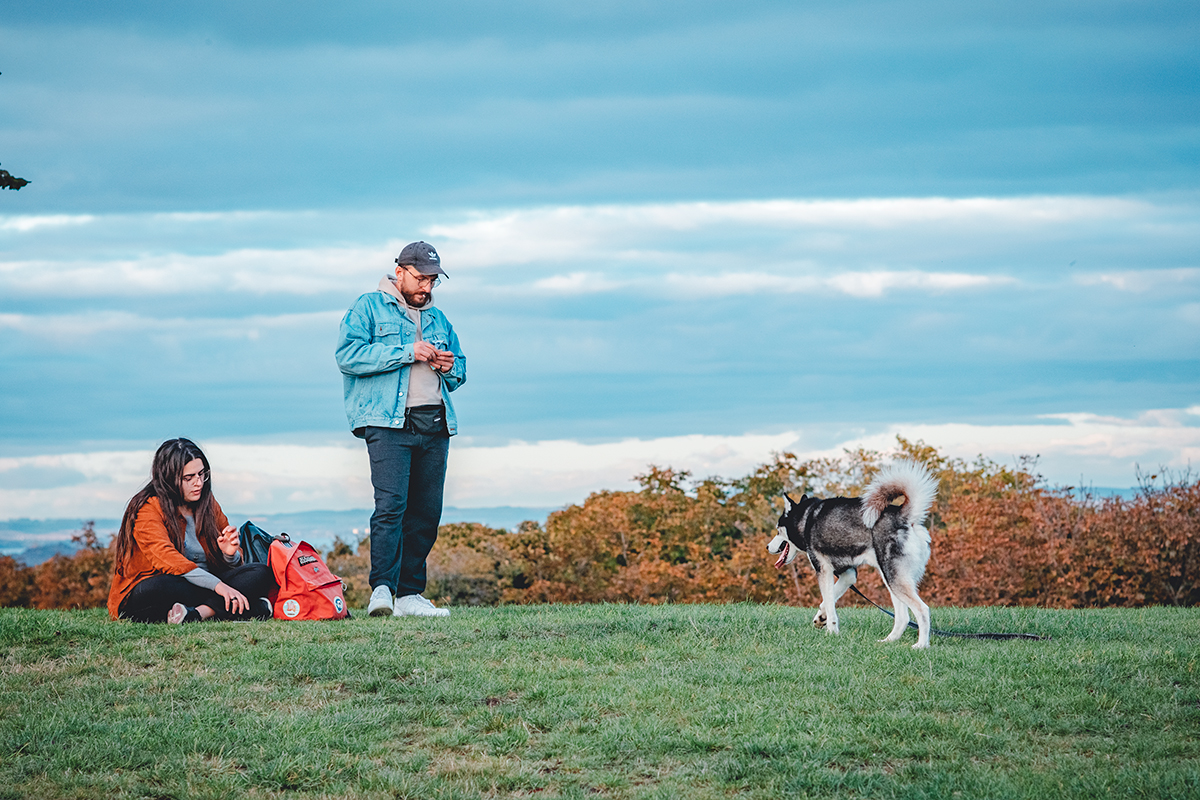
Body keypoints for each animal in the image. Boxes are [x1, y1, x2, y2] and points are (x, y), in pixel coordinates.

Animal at [768, 460, 936, 647]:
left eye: (777, 529)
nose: (767, 547)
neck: (806, 519)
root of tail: (904, 515)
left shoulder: (823, 569)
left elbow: (830, 603)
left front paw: (831, 631)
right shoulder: (847, 574)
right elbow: (828, 599)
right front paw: (821, 617)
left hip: (894, 579)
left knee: (922, 610)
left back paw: (921, 645)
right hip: (891, 580)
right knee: (903, 617)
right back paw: (888, 641)